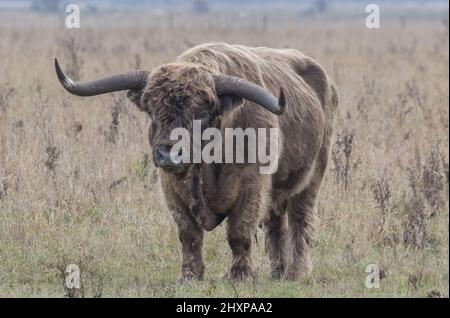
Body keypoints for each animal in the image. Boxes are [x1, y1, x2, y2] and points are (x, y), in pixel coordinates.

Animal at [55, 42, 338, 280]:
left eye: (201, 114)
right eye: (152, 113)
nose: (169, 154)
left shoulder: (252, 186)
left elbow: (239, 233)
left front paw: (239, 276)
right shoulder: (172, 191)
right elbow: (189, 236)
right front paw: (190, 276)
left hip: (312, 179)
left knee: (300, 221)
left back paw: (295, 273)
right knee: (276, 223)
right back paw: (277, 272)